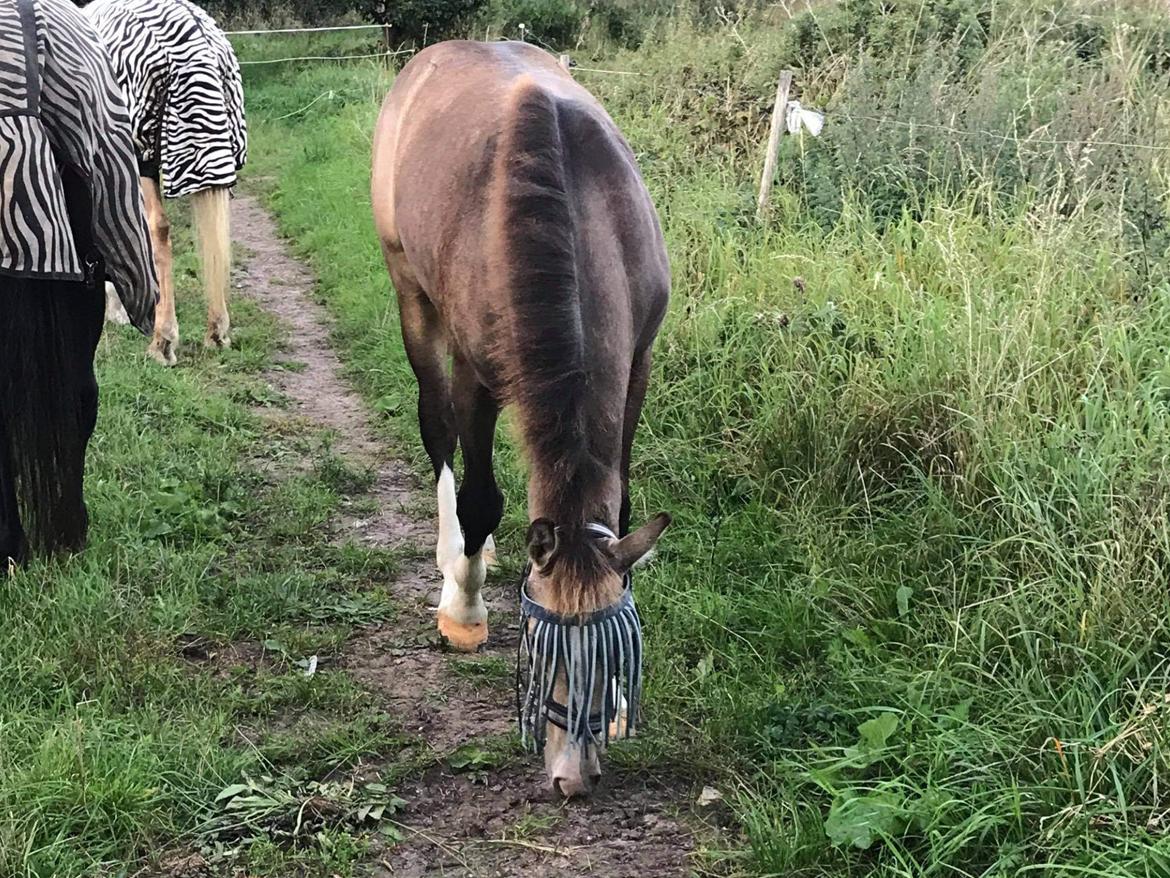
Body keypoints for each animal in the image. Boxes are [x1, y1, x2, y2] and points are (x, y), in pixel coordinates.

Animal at [369, 39, 673, 796]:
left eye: (614, 653)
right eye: (541, 651)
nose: (573, 778)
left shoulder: (639, 362)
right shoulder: (476, 373)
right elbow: (480, 497)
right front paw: (464, 612)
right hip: (412, 296)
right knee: (439, 433)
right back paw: (454, 560)